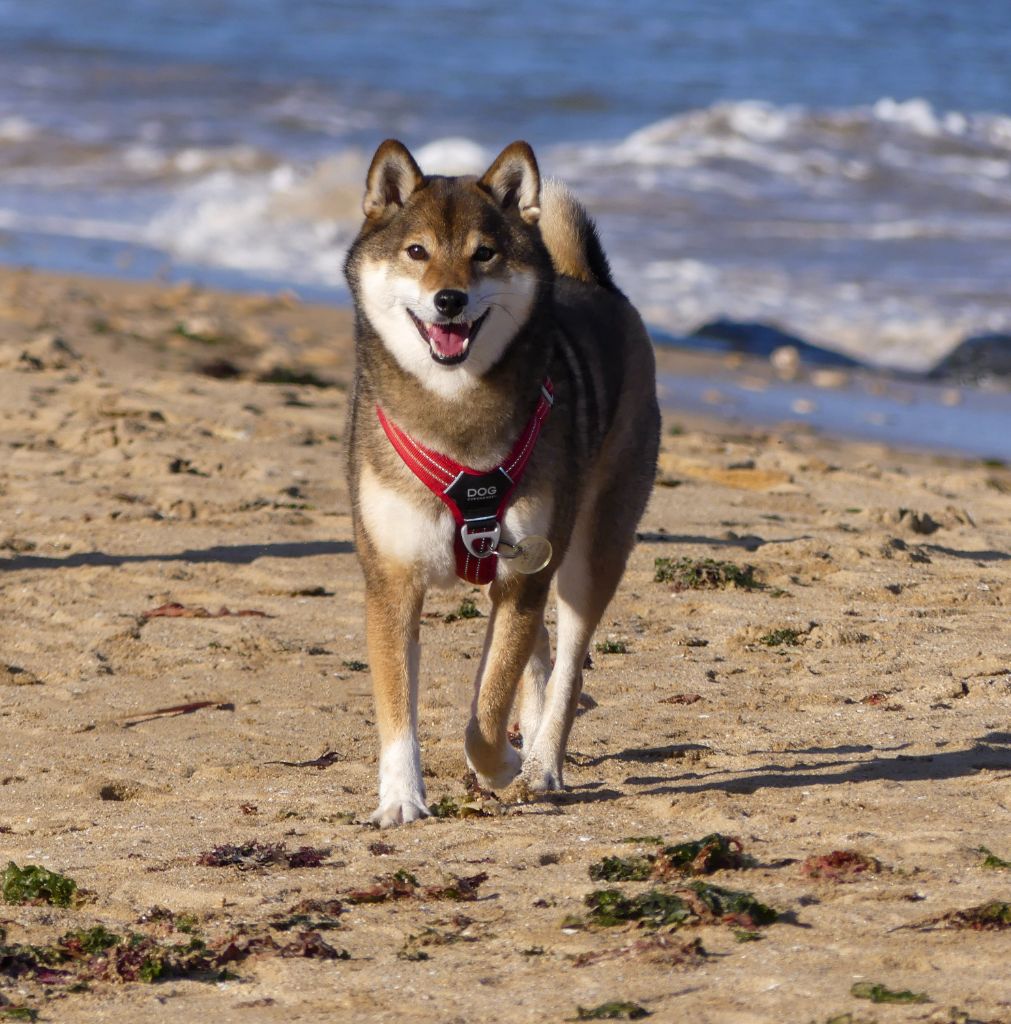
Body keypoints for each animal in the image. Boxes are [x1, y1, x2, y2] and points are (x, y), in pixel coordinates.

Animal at [344, 138, 659, 823]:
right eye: (417, 251)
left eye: (483, 253)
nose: (449, 300)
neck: (455, 411)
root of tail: (595, 284)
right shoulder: (391, 581)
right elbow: (398, 708)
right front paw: (401, 799)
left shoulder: (521, 575)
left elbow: (484, 715)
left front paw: (503, 765)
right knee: (537, 660)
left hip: (587, 554)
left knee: (566, 665)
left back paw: (541, 761)